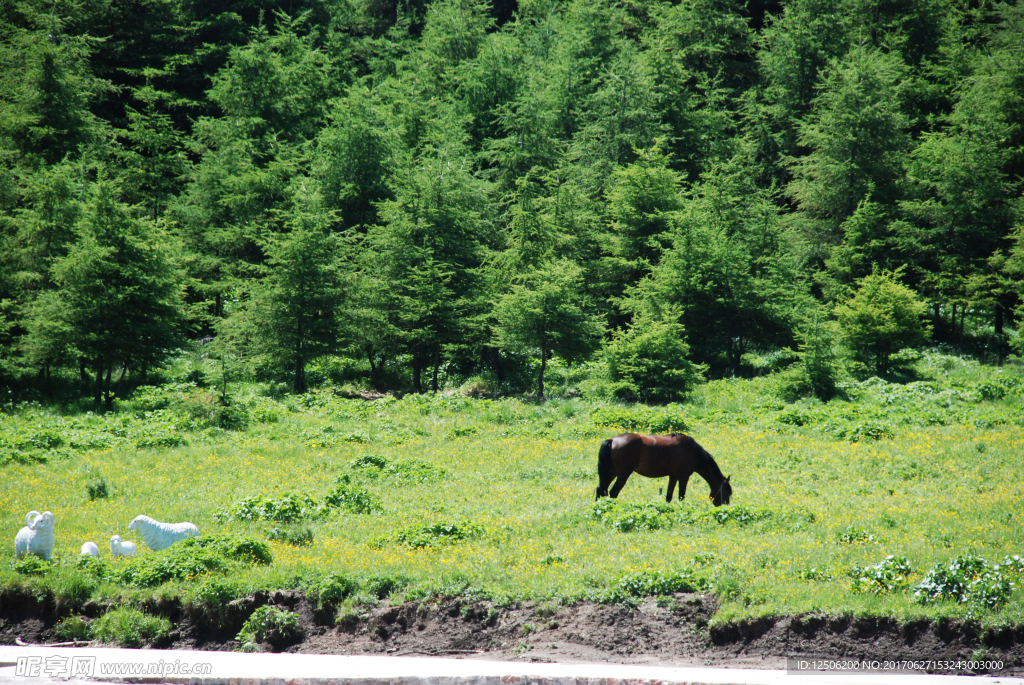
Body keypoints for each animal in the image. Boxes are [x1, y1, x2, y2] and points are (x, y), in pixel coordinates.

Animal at [598, 436, 733, 505]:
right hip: (623, 474)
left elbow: (669, 496)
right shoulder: (684, 477)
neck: (693, 451)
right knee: (613, 492)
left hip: (611, 473)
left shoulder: (673, 476)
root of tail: (612, 440)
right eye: (726, 492)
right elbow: (681, 496)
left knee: (601, 490)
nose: (725, 506)